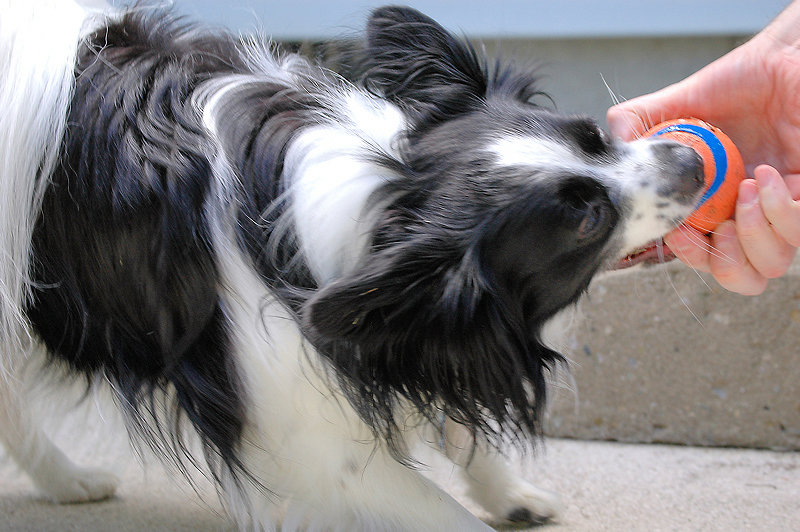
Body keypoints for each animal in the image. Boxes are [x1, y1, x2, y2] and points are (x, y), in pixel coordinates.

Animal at [0, 2, 704, 528]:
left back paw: (66, 481)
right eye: (588, 220)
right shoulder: (310, 451)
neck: (382, 199)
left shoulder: (421, 336)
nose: (693, 160)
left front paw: (510, 495)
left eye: (595, 135)